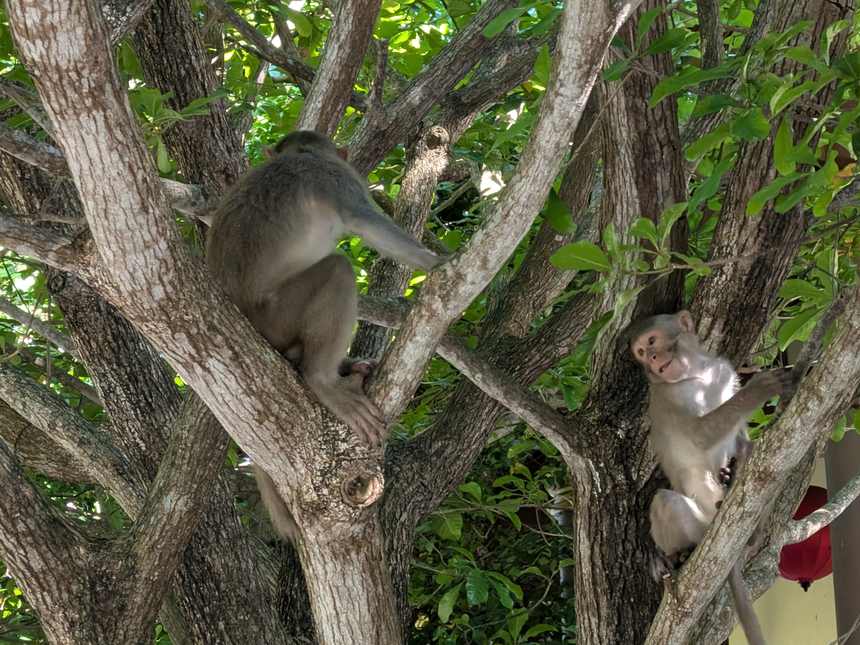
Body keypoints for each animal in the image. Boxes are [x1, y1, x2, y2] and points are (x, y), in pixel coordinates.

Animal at [206, 130, 443, 539]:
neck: (302, 154)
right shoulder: (334, 178)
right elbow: (365, 221)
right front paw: (436, 262)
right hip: (276, 316)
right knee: (337, 270)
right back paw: (323, 380)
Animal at [628, 310, 792, 645]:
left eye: (651, 342)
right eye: (641, 353)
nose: (652, 358)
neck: (697, 374)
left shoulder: (723, 371)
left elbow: (740, 436)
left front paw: (740, 457)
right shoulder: (664, 398)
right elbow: (699, 437)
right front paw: (760, 388)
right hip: (699, 525)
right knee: (664, 502)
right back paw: (678, 555)